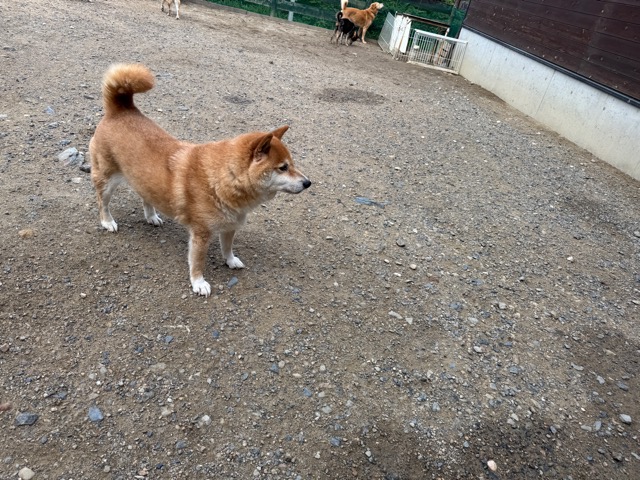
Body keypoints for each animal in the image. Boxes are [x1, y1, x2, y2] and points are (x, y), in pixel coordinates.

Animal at [89, 64, 311, 297]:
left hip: (143, 179)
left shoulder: (230, 226)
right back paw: (107, 221)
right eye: (283, 167)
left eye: (292, 164)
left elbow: (227, 248)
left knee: (145, 196)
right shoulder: (201, 234)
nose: (308, 183)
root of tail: (120, 110)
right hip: (107, 180)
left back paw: (151, 216)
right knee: (102, 202)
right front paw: (198, 283)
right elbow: (197, 262)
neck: (223, 178)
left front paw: (230, 261)